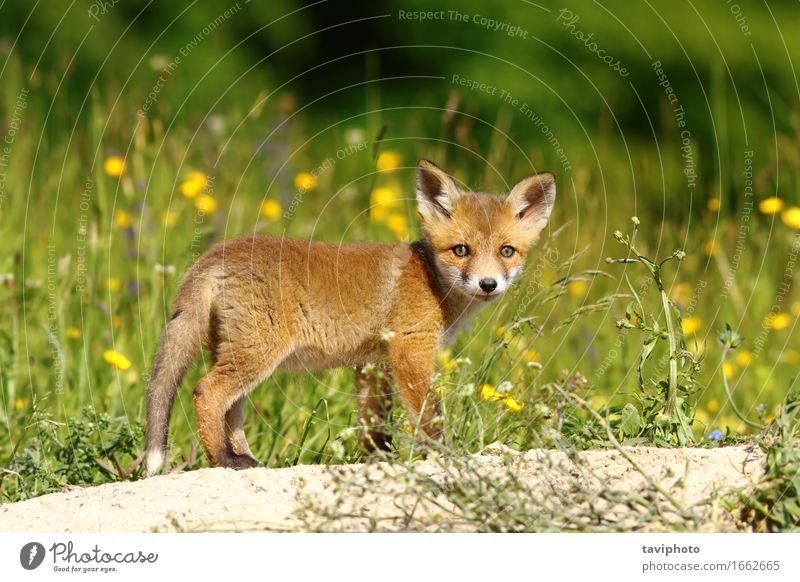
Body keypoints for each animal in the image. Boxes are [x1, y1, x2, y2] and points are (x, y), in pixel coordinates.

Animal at [145, 161, 556, 480]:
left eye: (507, 251)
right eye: (461, 250)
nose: (488, 284)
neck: (431, 280)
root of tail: (215, 254)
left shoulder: (373, 364)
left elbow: (375, 427)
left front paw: (378, 463)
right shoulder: (410, 350)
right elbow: (430, 417)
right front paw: (447, 456)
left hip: (237, 353)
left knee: (231, 410)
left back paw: (245, 459)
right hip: (256, 355)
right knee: (206, 393)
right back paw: (222, 460)